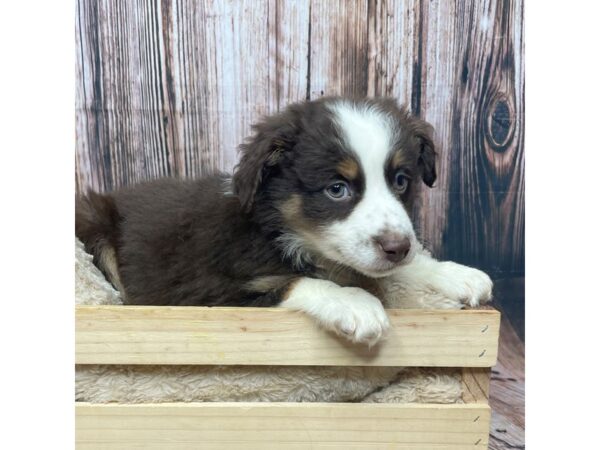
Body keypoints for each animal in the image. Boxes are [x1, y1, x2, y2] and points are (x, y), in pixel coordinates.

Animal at [76, 96, 492, 346]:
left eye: (401, 181)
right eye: (337, 189)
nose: (398, 247)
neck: (277, 229)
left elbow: (395, 269)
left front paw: (453, 273)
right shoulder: (201, 293)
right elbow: (295, 282)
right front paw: (355, 303)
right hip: (94, 225)